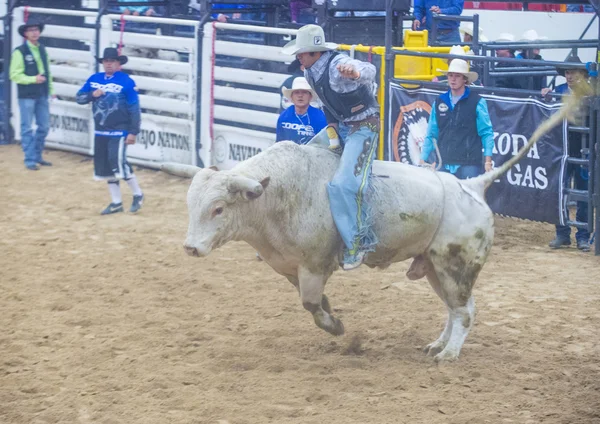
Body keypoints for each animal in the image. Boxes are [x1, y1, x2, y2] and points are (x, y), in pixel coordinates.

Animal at [164, 94, 576, 362]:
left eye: (218, 208)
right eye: (191, 206)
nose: (190, 247)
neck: (275, 195)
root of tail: (472, 186)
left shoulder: (314, 265)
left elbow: (310, 303)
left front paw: (337, 327)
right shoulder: (290, 268)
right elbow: (312, 302)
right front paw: (333, 315)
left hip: (455, 266)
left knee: (464, 311)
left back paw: (449, 354)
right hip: (435, 267)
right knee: (456, 308)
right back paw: (438, 345)